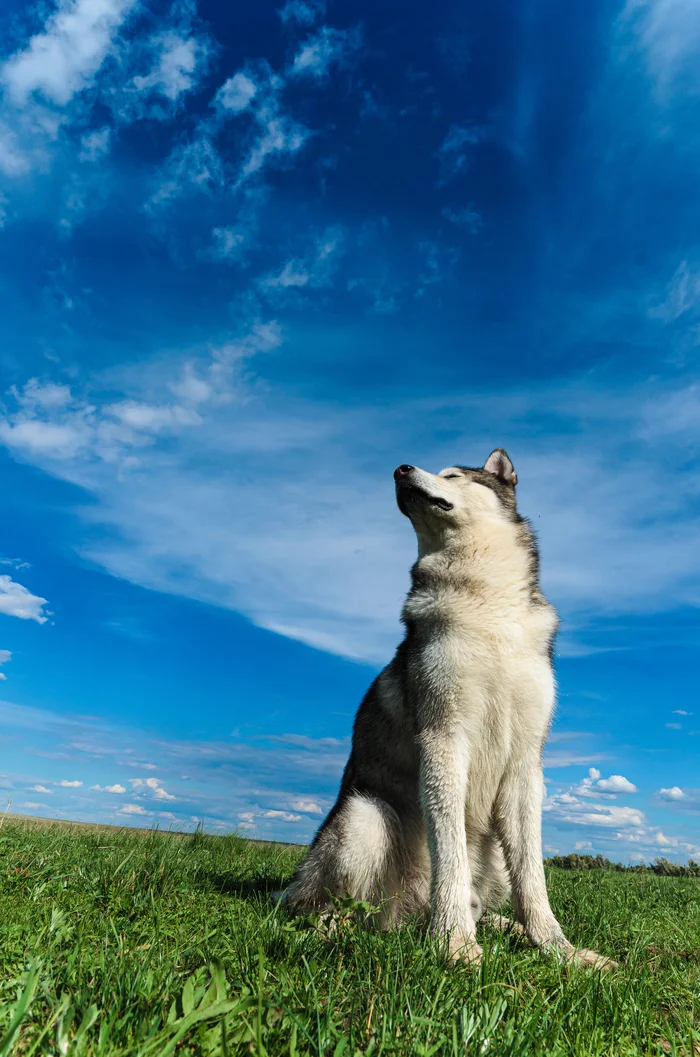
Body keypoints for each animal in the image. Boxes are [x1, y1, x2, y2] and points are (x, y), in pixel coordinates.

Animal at [283, 450, 617, 968]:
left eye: (453, 475)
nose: (399, 470)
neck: (488, 604)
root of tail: (409, 917)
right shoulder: (444, 738)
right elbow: (451, 854)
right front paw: (456, 944)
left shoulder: (526, 762)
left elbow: (533, 879)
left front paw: (559, 949)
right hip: (365, 817)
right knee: (331, 909)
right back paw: (330, 935)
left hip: (490, 856)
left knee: (488, 902)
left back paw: (507, 929)